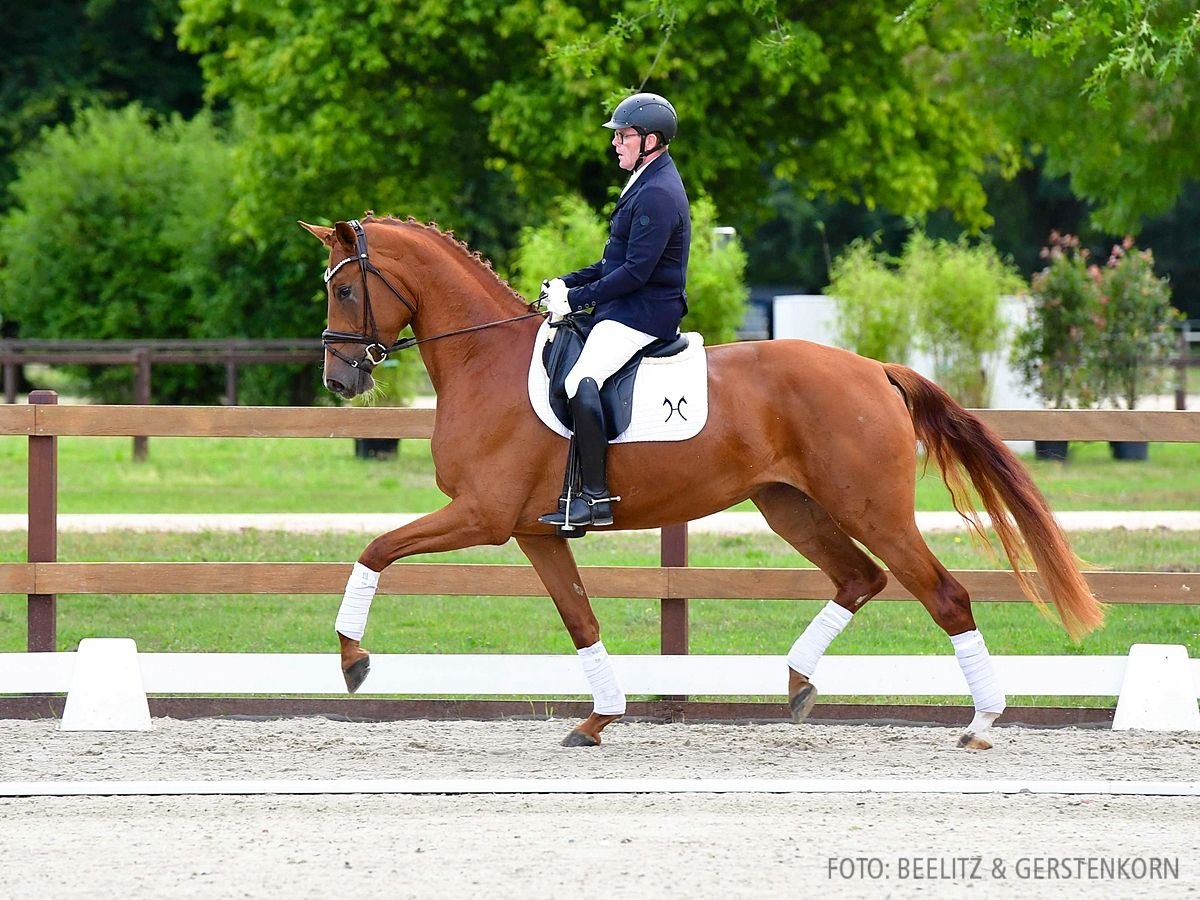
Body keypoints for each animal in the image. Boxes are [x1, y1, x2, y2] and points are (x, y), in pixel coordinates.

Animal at [302, 214, 1104, 748]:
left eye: (346, 293)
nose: (340, 380)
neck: (484, 361)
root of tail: (875, 368)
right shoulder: (535, 531)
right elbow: (580, 619)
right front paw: (599, 717)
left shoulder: (483, 515)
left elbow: (375, 550)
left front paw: (354, 662)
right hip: (790, 506)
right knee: (860, 579)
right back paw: (799, 685)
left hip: (870, 507)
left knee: (942, 594)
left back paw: (982, 722)